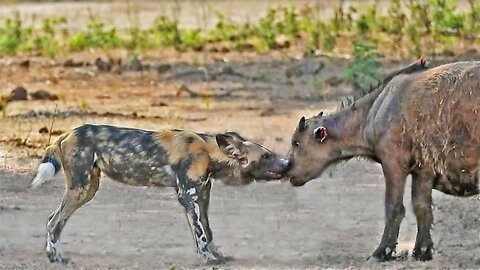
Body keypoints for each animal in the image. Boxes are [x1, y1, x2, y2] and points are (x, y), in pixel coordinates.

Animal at [31, 124, 290, 264]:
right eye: (266, 156)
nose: (287, 163)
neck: (209, 153)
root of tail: (67, 133)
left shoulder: (202, 197)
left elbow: (208, 231)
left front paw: (217, 256)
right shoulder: (187, 197)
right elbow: (200, 234)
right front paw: (208, 260)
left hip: (87, 189)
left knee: (52, 219)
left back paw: (52, 255)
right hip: (81, 188)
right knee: (54, 222)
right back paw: (61, 259)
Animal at [286, 59, 480, 262]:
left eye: (297, 143)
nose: (286, 167)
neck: (377, 109)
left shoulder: (393, 164)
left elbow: (394, 207)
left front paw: (382, 251)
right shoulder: (423, 170)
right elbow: (422, 207)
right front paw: (422, 251)